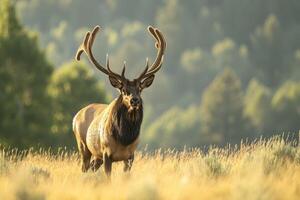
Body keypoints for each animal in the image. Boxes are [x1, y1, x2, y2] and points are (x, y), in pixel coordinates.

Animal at [72, 24, 166, 177]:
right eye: (123, 90)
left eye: (140, 89)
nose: (135, 100)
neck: (124, 138)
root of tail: (75, 117)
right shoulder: (106, 153)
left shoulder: (131, 156)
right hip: (83, 146)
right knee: (84, 168)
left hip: (96, 156)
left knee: (91, 168)